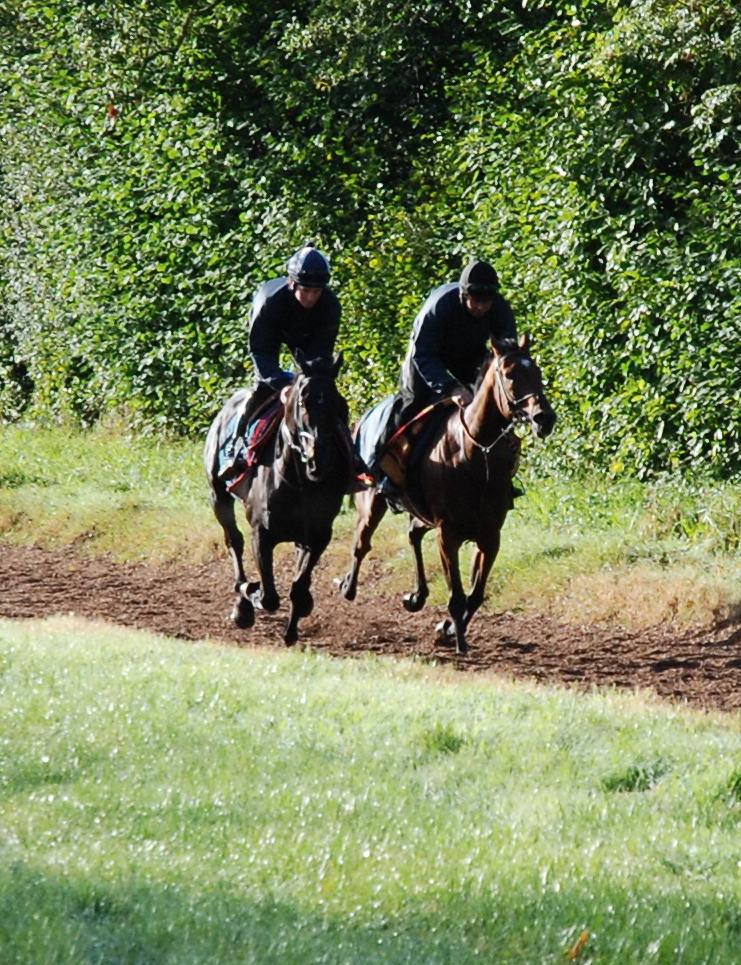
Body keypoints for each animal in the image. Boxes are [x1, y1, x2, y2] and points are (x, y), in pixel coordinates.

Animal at [204, 350, 352, 644]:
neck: (299, 481)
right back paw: (242, 602)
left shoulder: (318, 536)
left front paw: (293, 628)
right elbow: (269, 597)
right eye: (304, 401)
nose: (321, 459)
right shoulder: (261, 534)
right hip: (218, 494)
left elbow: (299, 586)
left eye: (340, 405)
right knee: (233, 541)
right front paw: (251, 594)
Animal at [338, 334, 552, 656]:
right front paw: (459, 642)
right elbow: (458, 596)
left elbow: (475, 595)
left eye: (537, 371)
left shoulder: (490, 536)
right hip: (372, 501)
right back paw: (348, 586)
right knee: (361, 543)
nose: (544, 418)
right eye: (510, 374)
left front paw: (449, 629)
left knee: (413, 533)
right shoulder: (448, 533)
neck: (475, 453)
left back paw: (416, 596)